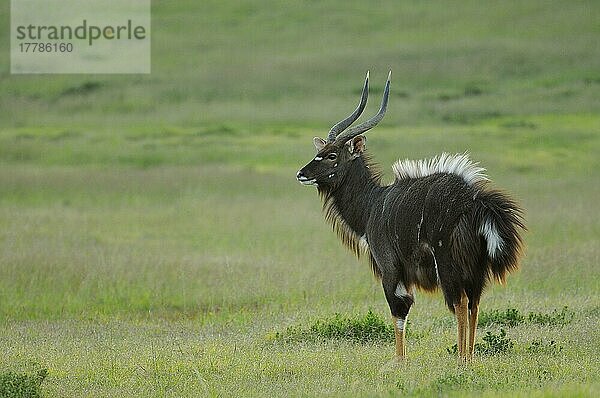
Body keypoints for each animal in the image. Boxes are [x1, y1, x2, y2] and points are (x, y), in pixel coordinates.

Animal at [296, 70, 524, 362]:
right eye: (320, 152)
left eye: (332, 155)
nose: (301, 173)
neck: (373, 203)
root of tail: (475, 200)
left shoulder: (390, 267)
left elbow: (399, 311)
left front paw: (399, 362)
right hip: (476, 269)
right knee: (474, 303)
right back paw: (470, 358)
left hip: (448, 265)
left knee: (460, 303)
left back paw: (461, 360)